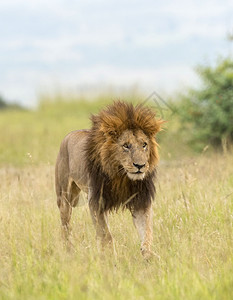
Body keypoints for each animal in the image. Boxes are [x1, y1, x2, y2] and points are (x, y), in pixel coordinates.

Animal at [55, 100, 163, 258]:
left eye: (144, 145)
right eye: (126, 146)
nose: (140, 165)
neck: (122, 175)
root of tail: (68, 135)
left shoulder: (141, 201)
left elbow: (147, 231)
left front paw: (148, 255)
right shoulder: (96, 202)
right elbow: (106, 235)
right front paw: (111, 258)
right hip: (64, 197)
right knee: (65, 225)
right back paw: (68, 251)